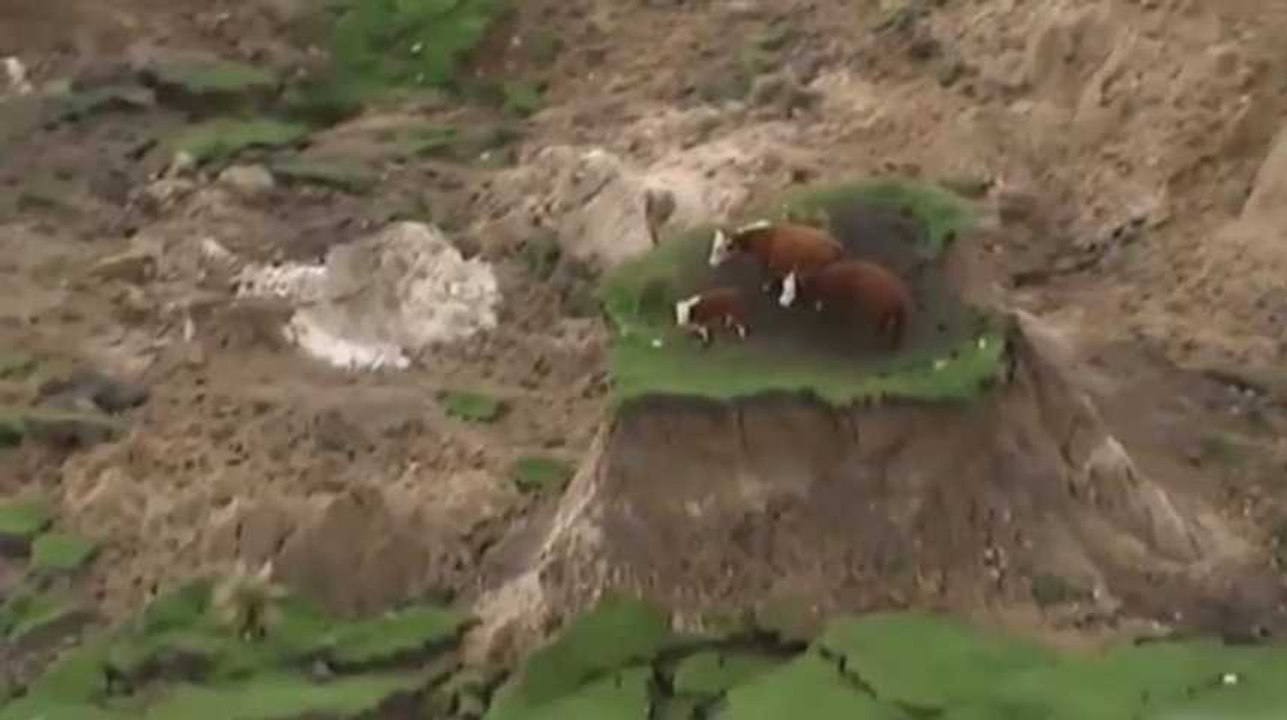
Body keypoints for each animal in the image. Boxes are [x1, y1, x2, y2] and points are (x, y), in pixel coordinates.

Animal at [708, 220, 845, 306]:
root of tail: (837, 246)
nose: (711, 263)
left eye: (719, 249)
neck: (764, 238)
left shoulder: (780, 263)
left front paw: (781, 295)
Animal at [782, 259, 914, 349]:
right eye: (785, 287)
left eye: (791, 290)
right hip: (888, 311)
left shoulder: (840, 303)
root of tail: (899, 292)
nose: (782, 302)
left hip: (882, 310)